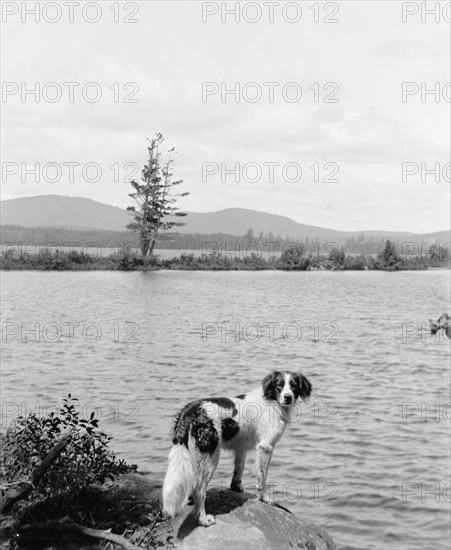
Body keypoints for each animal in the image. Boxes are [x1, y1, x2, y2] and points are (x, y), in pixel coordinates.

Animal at [161, 374, 312, 528]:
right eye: (279, 385)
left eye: (293, 385)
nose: (288, 397)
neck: (272, 401)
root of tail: (190, 411)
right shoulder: (266, 447)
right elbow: (262, 477)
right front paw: (263, 498)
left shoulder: (241, 448)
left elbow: (239, 470)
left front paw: (237, 487)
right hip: (210, 457)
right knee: (199, 490)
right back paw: (203, 519)